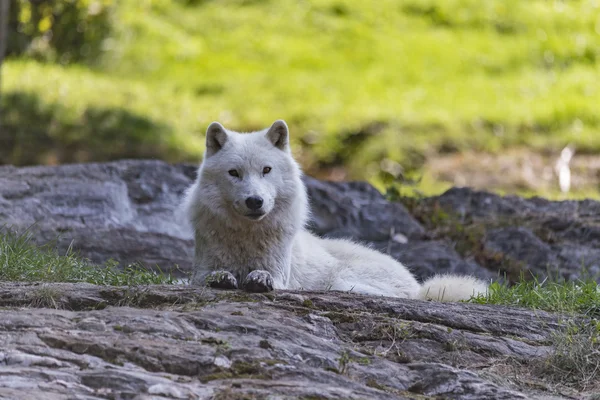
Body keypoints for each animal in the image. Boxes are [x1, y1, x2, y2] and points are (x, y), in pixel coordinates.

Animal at [183, 120, 488, 302]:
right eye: (234, 173)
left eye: (266, 170)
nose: (255, 201)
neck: (246, 238)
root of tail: (421, 289)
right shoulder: (200, 269)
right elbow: (208, 276)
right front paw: (223, 278)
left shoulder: (281, 273)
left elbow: (268, 277)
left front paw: (259, 279)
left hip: (342, 281)